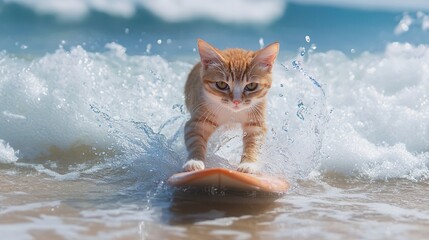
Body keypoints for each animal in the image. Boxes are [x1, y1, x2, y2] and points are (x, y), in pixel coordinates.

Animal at [183, 38, 278, 173]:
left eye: (251, 86)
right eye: (222, 84)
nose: (236, 101)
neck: (232, 114)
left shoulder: (256, 122)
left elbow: (254, 143)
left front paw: (248, 163)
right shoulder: (198, 122)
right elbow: (195, 140)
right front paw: (194, 161)